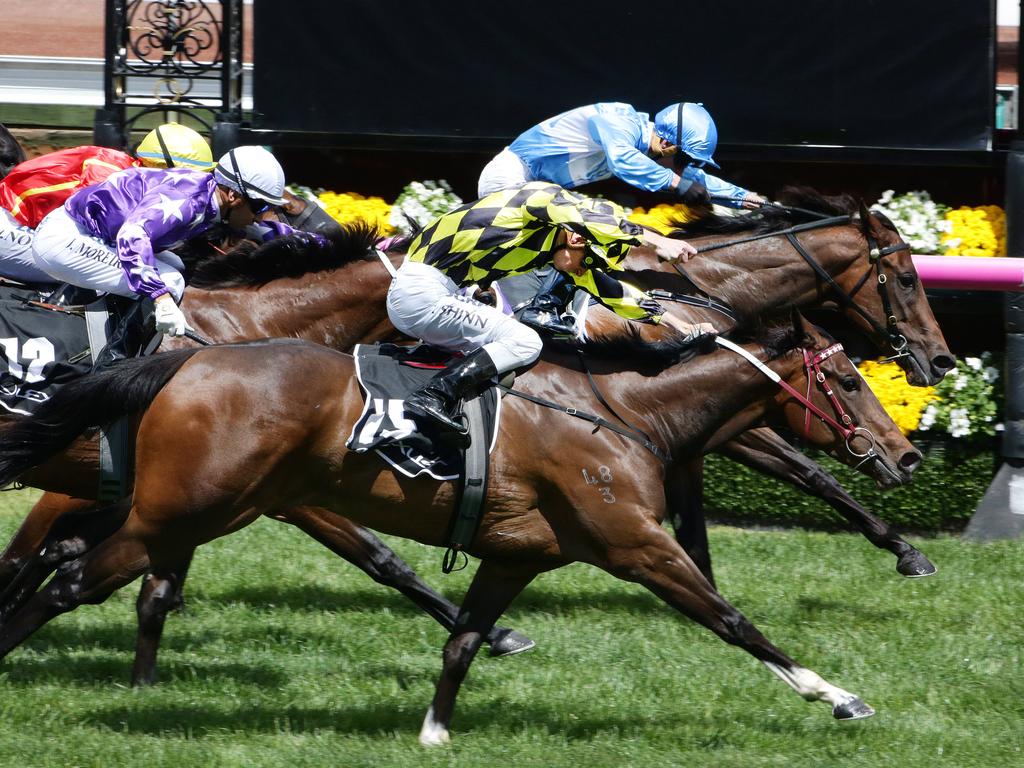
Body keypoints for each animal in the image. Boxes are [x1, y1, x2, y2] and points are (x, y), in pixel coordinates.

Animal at [0, 315, 921, 741]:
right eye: (847, 379)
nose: (907, 455)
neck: (625, 414)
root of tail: (185, 359)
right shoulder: (635, 544)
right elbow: (733, 621)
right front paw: (838, 696)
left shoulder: (517, 555)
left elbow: (464, 641)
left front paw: (435, 731)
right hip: (184, 509)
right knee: (66, 579)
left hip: (195, 508)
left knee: (67, 569)